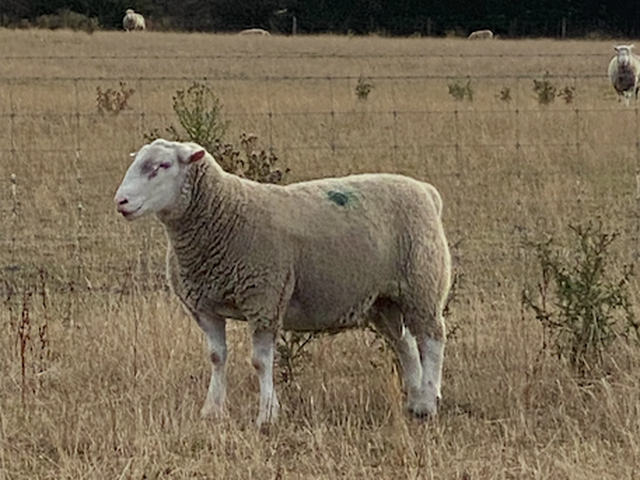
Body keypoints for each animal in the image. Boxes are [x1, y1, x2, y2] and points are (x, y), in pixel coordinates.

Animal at [114, 139, 451, 427]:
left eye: (162, 165)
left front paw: (266, 416)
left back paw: (428, 403)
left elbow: (260, 362)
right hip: (383, 300)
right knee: (405, 344)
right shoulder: (205, 306)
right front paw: (212, 410)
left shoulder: (264, 297)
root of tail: (426, 191)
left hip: (422, 283)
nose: (121, 201)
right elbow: (216, 357)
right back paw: (415, 400)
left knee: (432, 339)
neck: (224, 214)